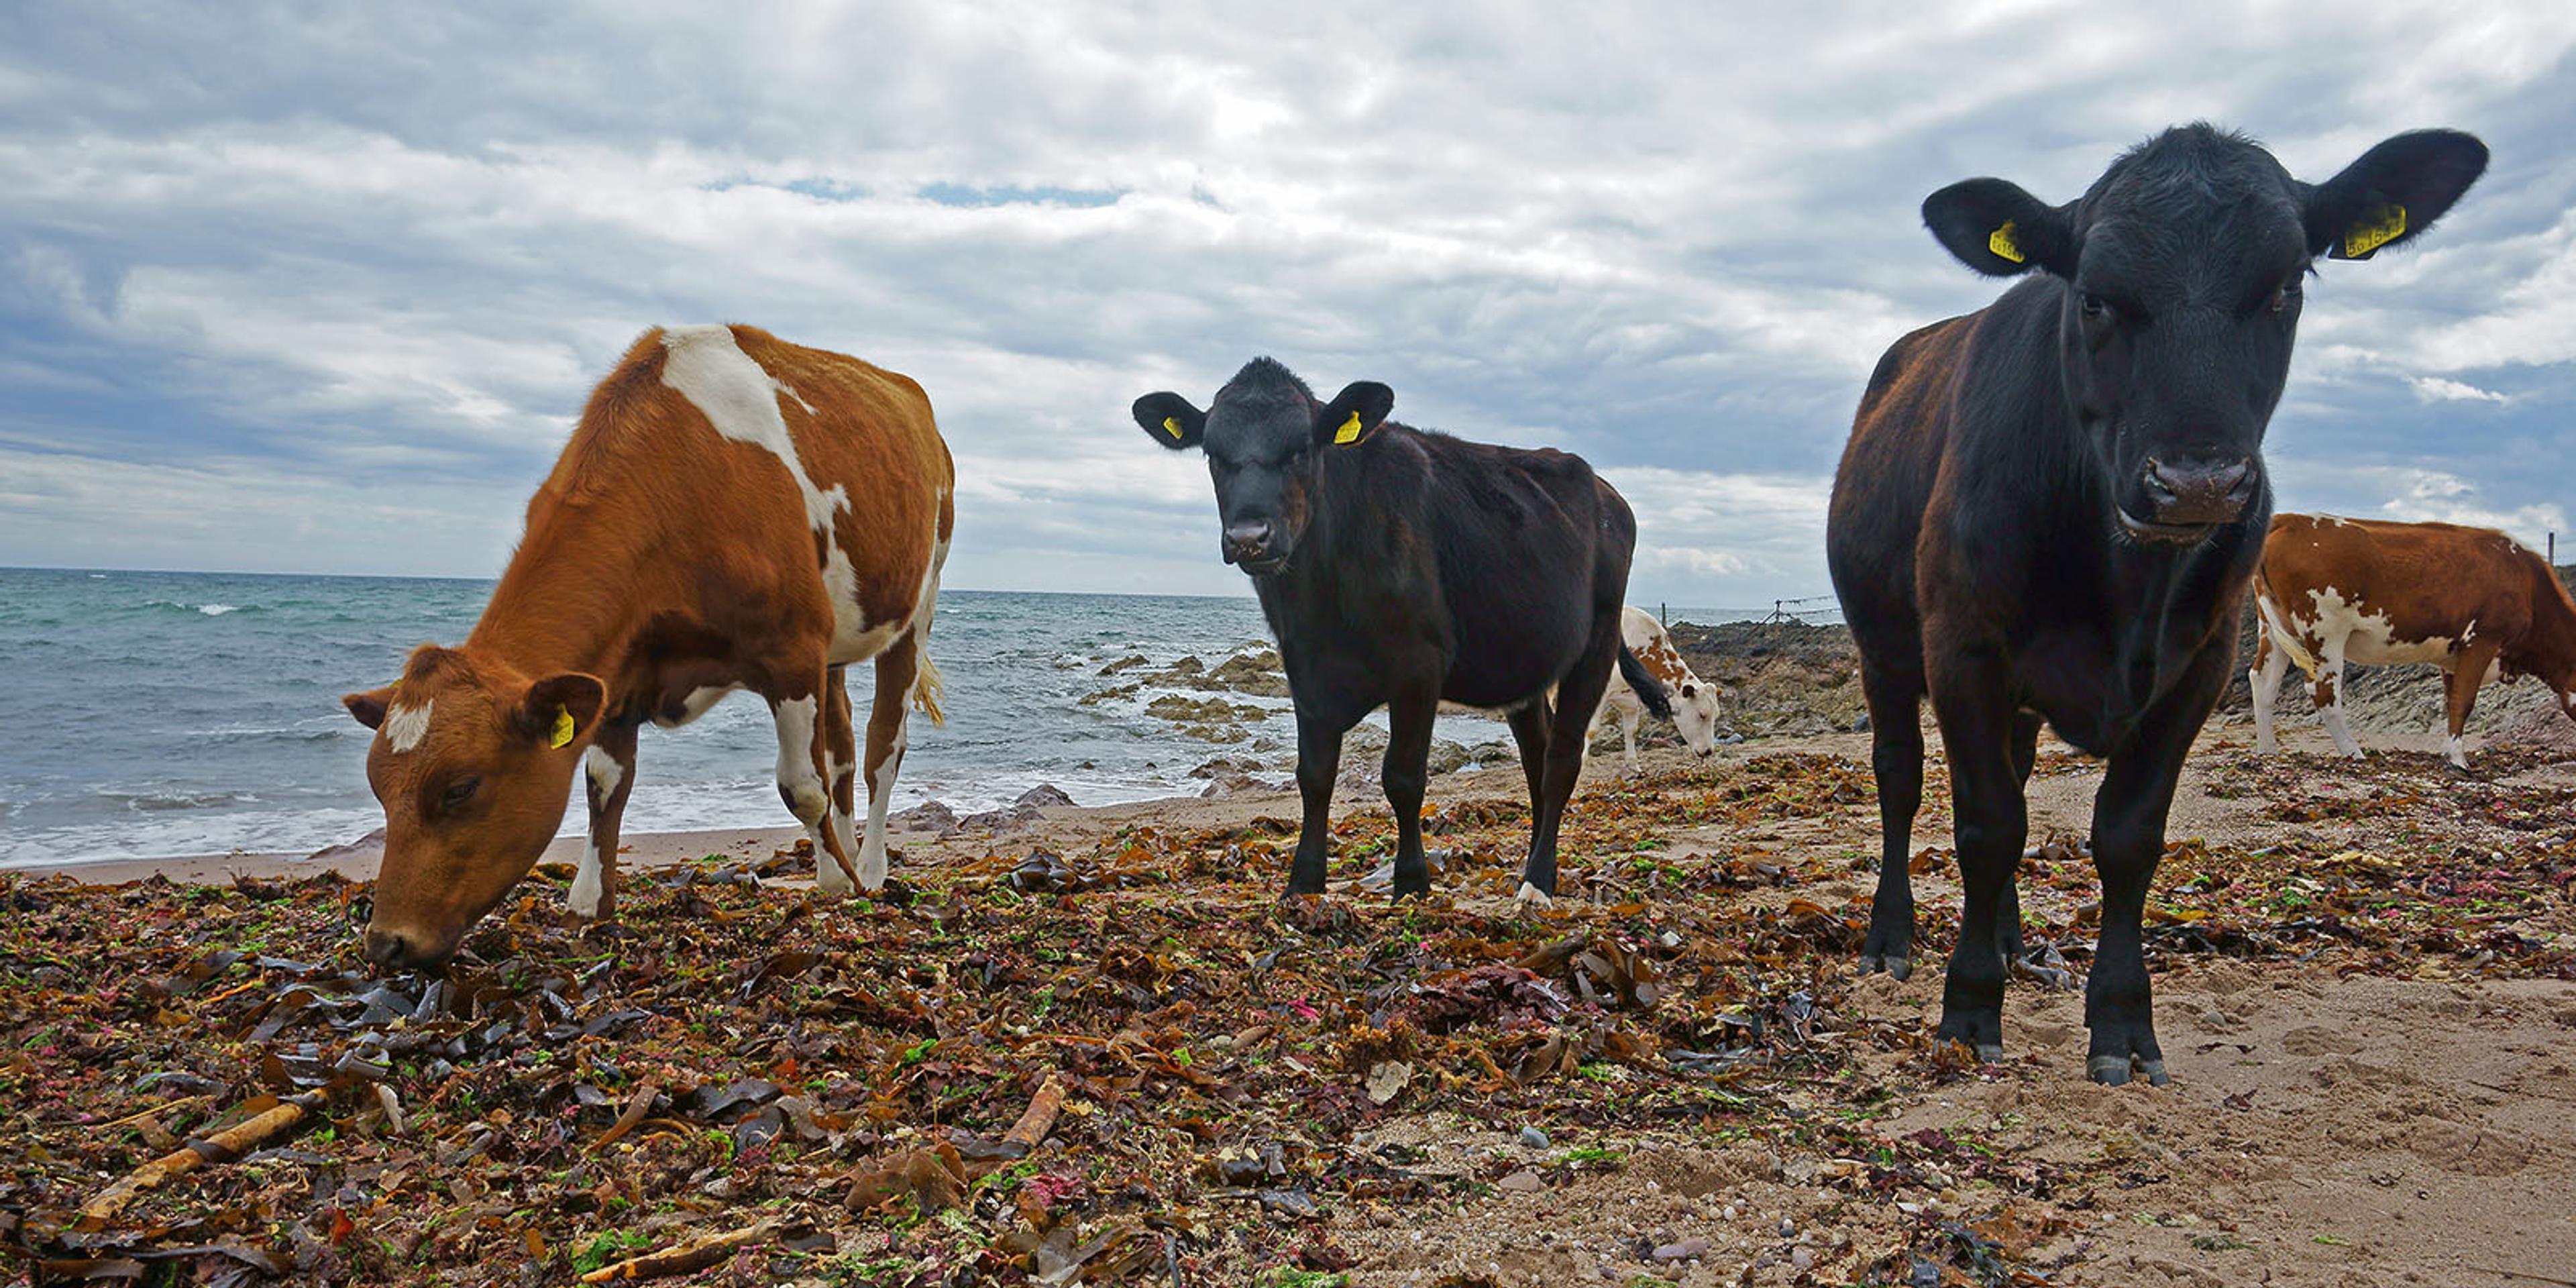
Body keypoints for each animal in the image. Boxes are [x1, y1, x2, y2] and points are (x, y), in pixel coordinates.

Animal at [337, 322, 953, 968]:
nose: (386, 942)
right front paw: (589, 904)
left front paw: (837, 884)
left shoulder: (792, 648)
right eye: (378, 786)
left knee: (883, 748)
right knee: (842, 746)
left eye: (460, 788)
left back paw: (871, 867)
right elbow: (603, 787)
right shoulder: (616, 670)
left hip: (919, 602)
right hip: (835, 643)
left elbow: (800, 788)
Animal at [1128, 358, 1648, 902]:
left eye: (1302, 448)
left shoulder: (1419, 662)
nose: (1249, 538)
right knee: (1536, 756)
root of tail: (1609, 494)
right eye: (1212, 452)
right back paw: (1532, 867)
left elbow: (1403, 776)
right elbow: (1314, 776)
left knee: (1563, 759)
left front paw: (1412, 882)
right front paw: (1303, 883)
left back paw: (1539, 881)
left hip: (1597, 642)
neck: (1322, 599)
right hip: (1524, 665)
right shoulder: (1303, 664)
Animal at [1587, 605, 1731, 773]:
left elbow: (1631, 730)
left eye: (1716, 716)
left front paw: (1633, 766)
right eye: (1702, 715)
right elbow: (1591, 731)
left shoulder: (1630, 699)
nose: (1708, 751)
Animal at [1823, 125, 2483, 1081]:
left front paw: (2123, 1025)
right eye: (2094, 297)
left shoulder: (2198, 666)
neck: (2123, 584)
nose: (2197, 482)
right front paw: (1970, 1008)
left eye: (2286, 287)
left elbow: (2127, 836)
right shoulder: (1963, 647)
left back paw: (2015, 938)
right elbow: (1987, 825)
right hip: (1883, 648)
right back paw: (1893, 937)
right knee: (1901, 779)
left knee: (2016, 776)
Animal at [2246, 515, 2565, 773]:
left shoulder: (2453, 657)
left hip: (2272, 628)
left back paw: (2268, 752)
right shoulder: (2482, 641)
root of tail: (2290, 519)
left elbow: (2451, 701)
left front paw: (2449, 753)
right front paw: (2459, 761)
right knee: (2323, 690)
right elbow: (2464, 702)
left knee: (2263, 681)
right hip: (2325, 628)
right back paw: (2354, 752)